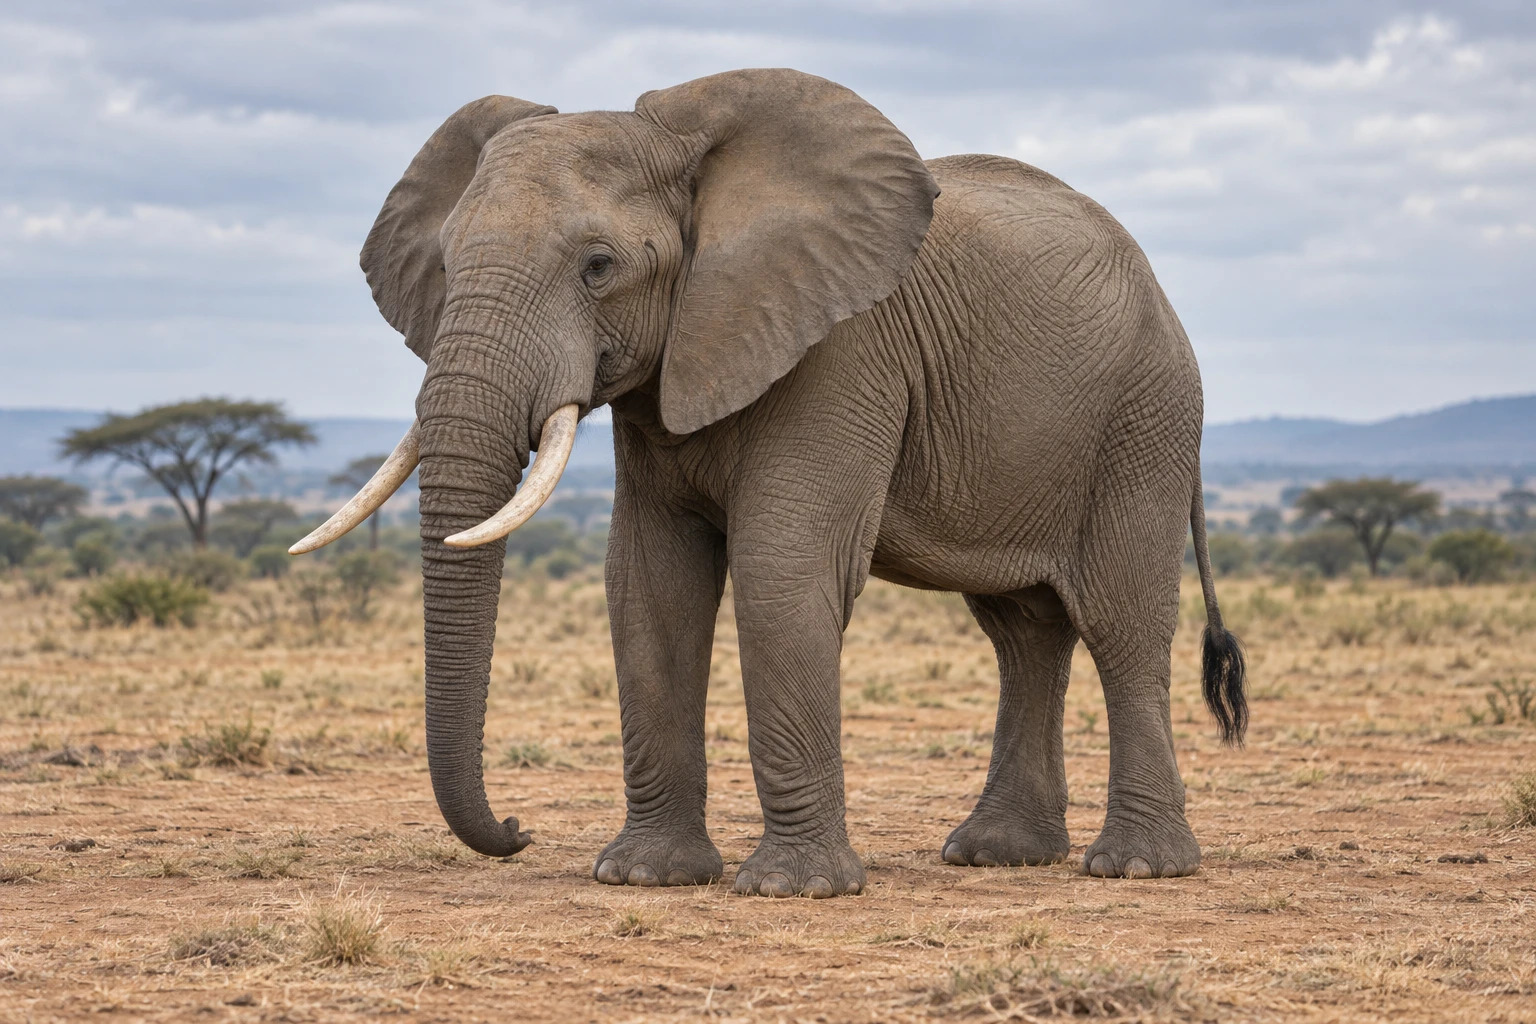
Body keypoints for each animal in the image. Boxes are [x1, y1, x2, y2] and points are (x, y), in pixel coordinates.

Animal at [291, 68, 1247, 898]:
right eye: (447, 264)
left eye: (599, 266)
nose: (519, 831)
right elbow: (648, 581)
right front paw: (644, 876)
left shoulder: (844, 350)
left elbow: (781, 567)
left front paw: (794, 889)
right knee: (1025, 632)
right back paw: (998, 853)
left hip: (1144, 419)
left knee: (1120, 622)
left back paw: (1137, 867)